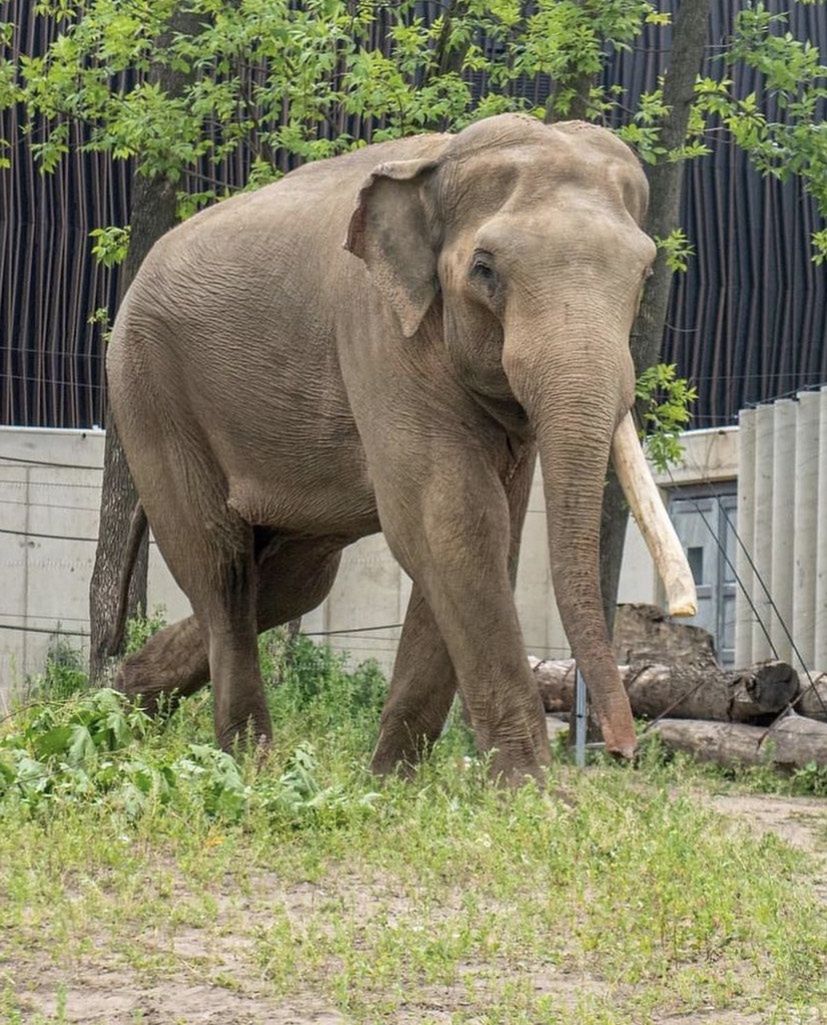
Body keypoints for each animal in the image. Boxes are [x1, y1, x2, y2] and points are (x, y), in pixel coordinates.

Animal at [106, 114, 696, 783]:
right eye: (485, 269)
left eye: (645, 274)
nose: (623, 748)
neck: (438, 164)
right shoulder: (379, 331)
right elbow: (452, 523)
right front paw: (534, 791)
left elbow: (485, 534)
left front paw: (391, 782)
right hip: (149, 391)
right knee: (221, 567)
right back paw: (246, 764)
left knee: (289, 584)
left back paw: (117, 705)